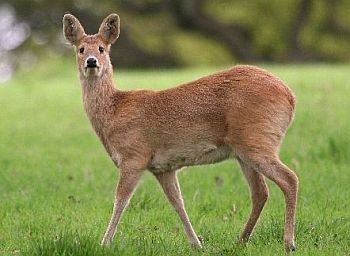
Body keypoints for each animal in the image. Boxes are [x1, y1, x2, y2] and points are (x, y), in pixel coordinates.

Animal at [62, 13, 298, 251]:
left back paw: (288, 242)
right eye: (81, 49)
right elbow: (178, 203)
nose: (92, 61)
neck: (114, 110)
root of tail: (290, 96)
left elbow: (120, 200)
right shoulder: (163, 168)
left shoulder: (134, 155)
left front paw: (105, 242)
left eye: (102, 49)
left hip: (257, 139)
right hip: (244, 150)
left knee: (289, 179)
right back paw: (241, 240)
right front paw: (196, 243)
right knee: (261, 192)